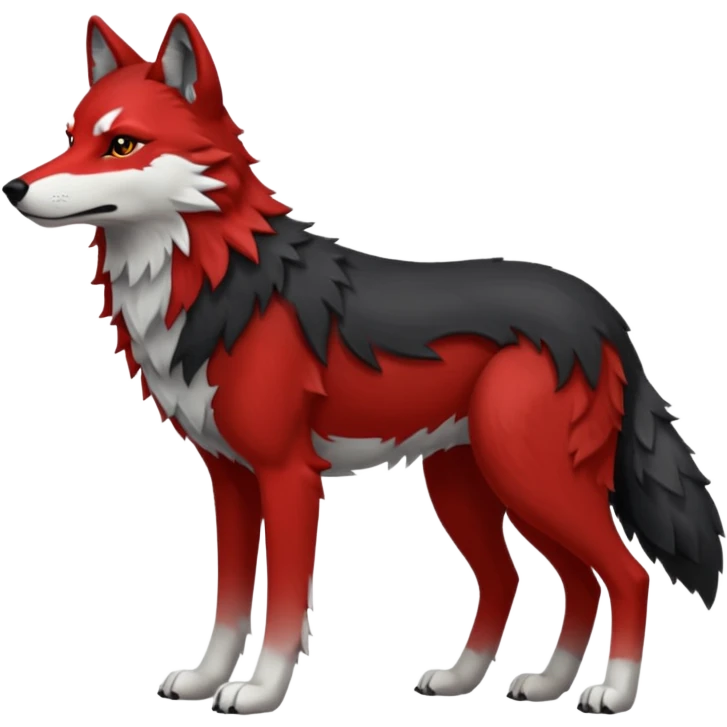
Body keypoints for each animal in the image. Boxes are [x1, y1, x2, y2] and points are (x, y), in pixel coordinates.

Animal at [2, 11, 723, 717]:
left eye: (122, 145)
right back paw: (513, 683)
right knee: (533, 579)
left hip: (530, 479)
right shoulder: (230, 480)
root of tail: (602, 312)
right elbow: (229, 601)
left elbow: (285, 603)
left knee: (624, 575)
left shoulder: (288, 477)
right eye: (70, 137)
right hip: (480, 486)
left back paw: (611, 692)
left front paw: (260, 692)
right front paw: (204, 680)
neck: (215, 284)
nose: (14, 186)